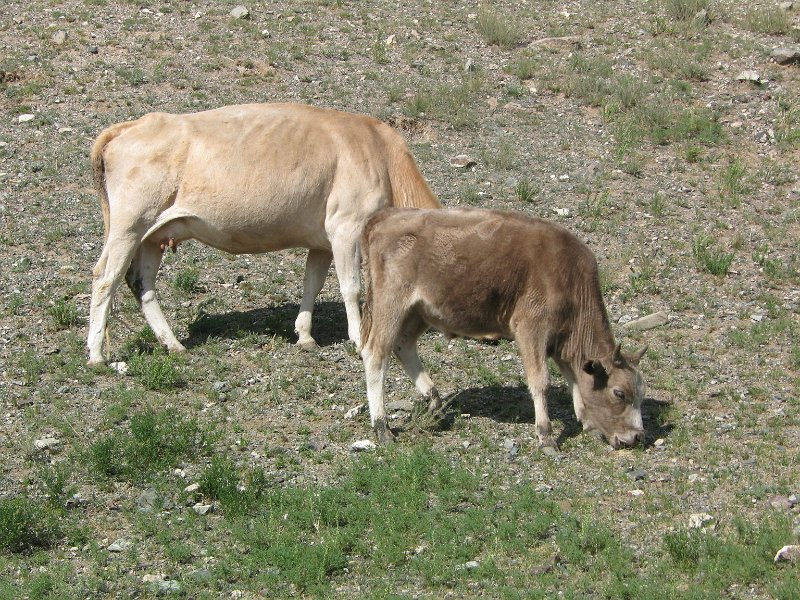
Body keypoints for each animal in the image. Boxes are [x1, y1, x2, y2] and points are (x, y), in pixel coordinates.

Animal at [86, 103, 444, 366]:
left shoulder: (322, 241)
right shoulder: (346, 225)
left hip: (152, 235)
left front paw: (305, 336)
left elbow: (312, 284)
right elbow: (351, 287)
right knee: (105, 278)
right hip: (128, 226)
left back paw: (172, 343)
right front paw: (357, 338)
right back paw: (97, 355)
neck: (384, 159)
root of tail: (134, 124)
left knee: (141, 283)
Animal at [360, 206, 648, 450]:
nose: (636, 437)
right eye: (619, 393)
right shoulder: (532, 329)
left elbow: (572, 378)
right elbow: (541, 381)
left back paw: (434, 400)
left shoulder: (560, 341)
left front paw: (584, 419)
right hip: (391, 305)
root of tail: (385, 216)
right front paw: (546, 437)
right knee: (376, 354)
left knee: (403, 345)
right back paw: (382, 427)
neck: (570, 278)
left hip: (418, 312)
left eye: (641, 391)